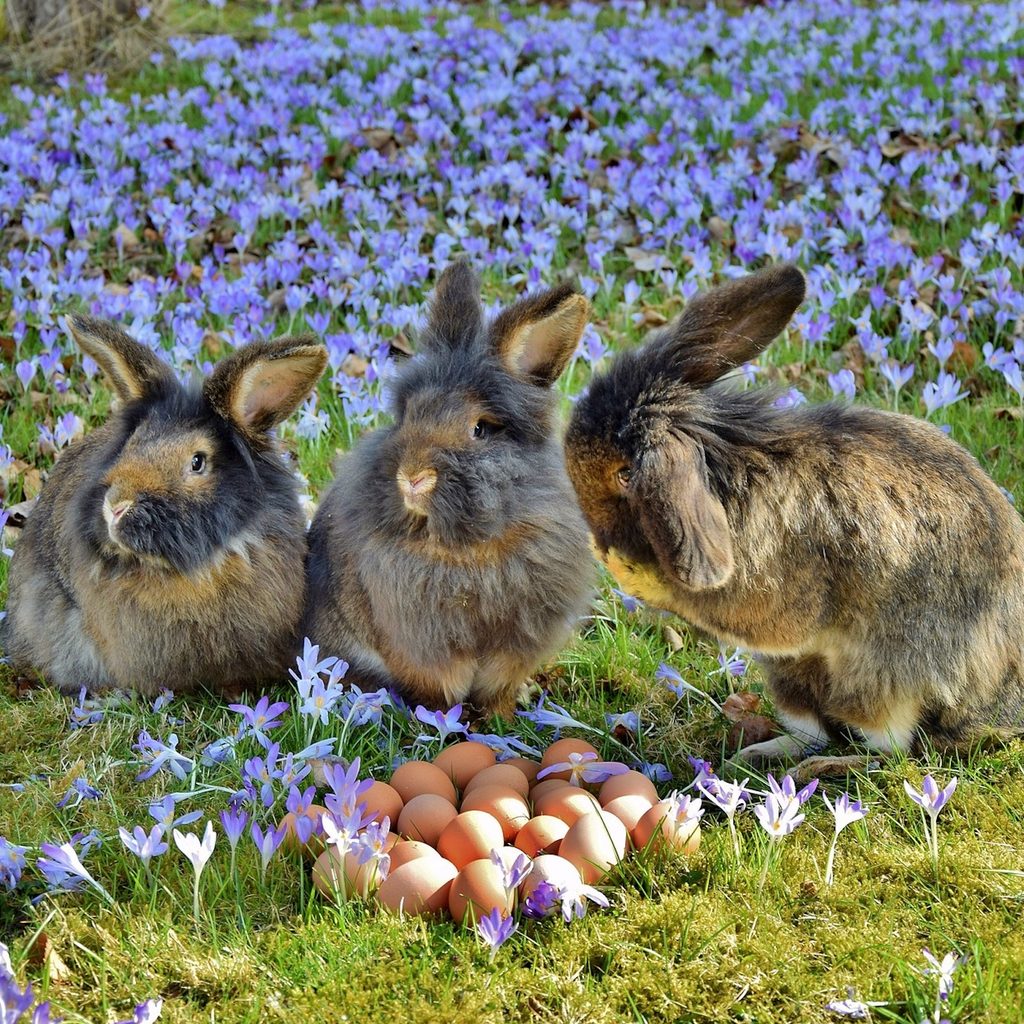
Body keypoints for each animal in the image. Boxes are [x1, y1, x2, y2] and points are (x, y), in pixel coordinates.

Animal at [303, 261, 595, 718]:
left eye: (480, 429)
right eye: (408, 414)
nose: (412, 476)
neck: (469, 546)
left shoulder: (516, 646)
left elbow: (498, 687)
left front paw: (500, 717)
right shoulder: (420, 644)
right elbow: (440, 686)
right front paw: (443, 721)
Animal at [564, 263, 1024, 764]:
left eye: (625, 474)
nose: (598, 539)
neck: (725, 473)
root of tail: (994, 710)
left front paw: (629, 572)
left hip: (880, 680)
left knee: (886, 751)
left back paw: (823, 765)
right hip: (791, 676)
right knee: (813, 729)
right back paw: (757, 754)